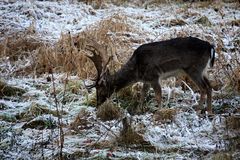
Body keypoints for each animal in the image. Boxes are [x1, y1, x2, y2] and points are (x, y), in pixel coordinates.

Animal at [79, 36, 216, 114]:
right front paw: (138, 110)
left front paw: (159, 112)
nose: (97, 104)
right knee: (209, 87)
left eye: (100, 88)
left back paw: (198, 110)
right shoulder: (146, 80)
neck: (137, 70)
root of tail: (210, 46)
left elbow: (158, 95)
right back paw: (209, 111)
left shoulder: (154, 76)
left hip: (194, 69)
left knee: (203, 88)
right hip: (203, 70)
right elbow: (142, 94)